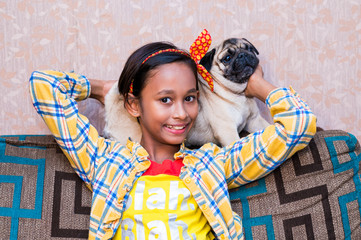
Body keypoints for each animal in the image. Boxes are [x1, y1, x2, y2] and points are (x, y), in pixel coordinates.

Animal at [102, 38, 268, 146]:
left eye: (248, 48)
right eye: (227, 58)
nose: (243, 54)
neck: (239, 94)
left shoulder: (254, 120)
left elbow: (266, 126)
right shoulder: (228, 131)